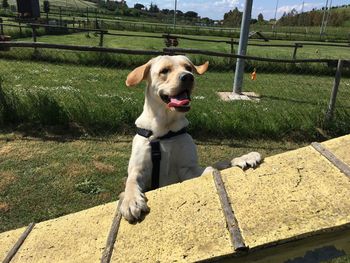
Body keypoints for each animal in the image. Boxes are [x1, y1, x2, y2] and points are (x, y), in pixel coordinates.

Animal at [119, 55, 260, 223]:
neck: (165, 131)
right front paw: (131, 200)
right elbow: (131, 181)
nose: (188, 77)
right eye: (164, 71)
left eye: (188, 68)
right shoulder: (139, 170)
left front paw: (243, 158)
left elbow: (214, 167)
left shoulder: (187, 170)